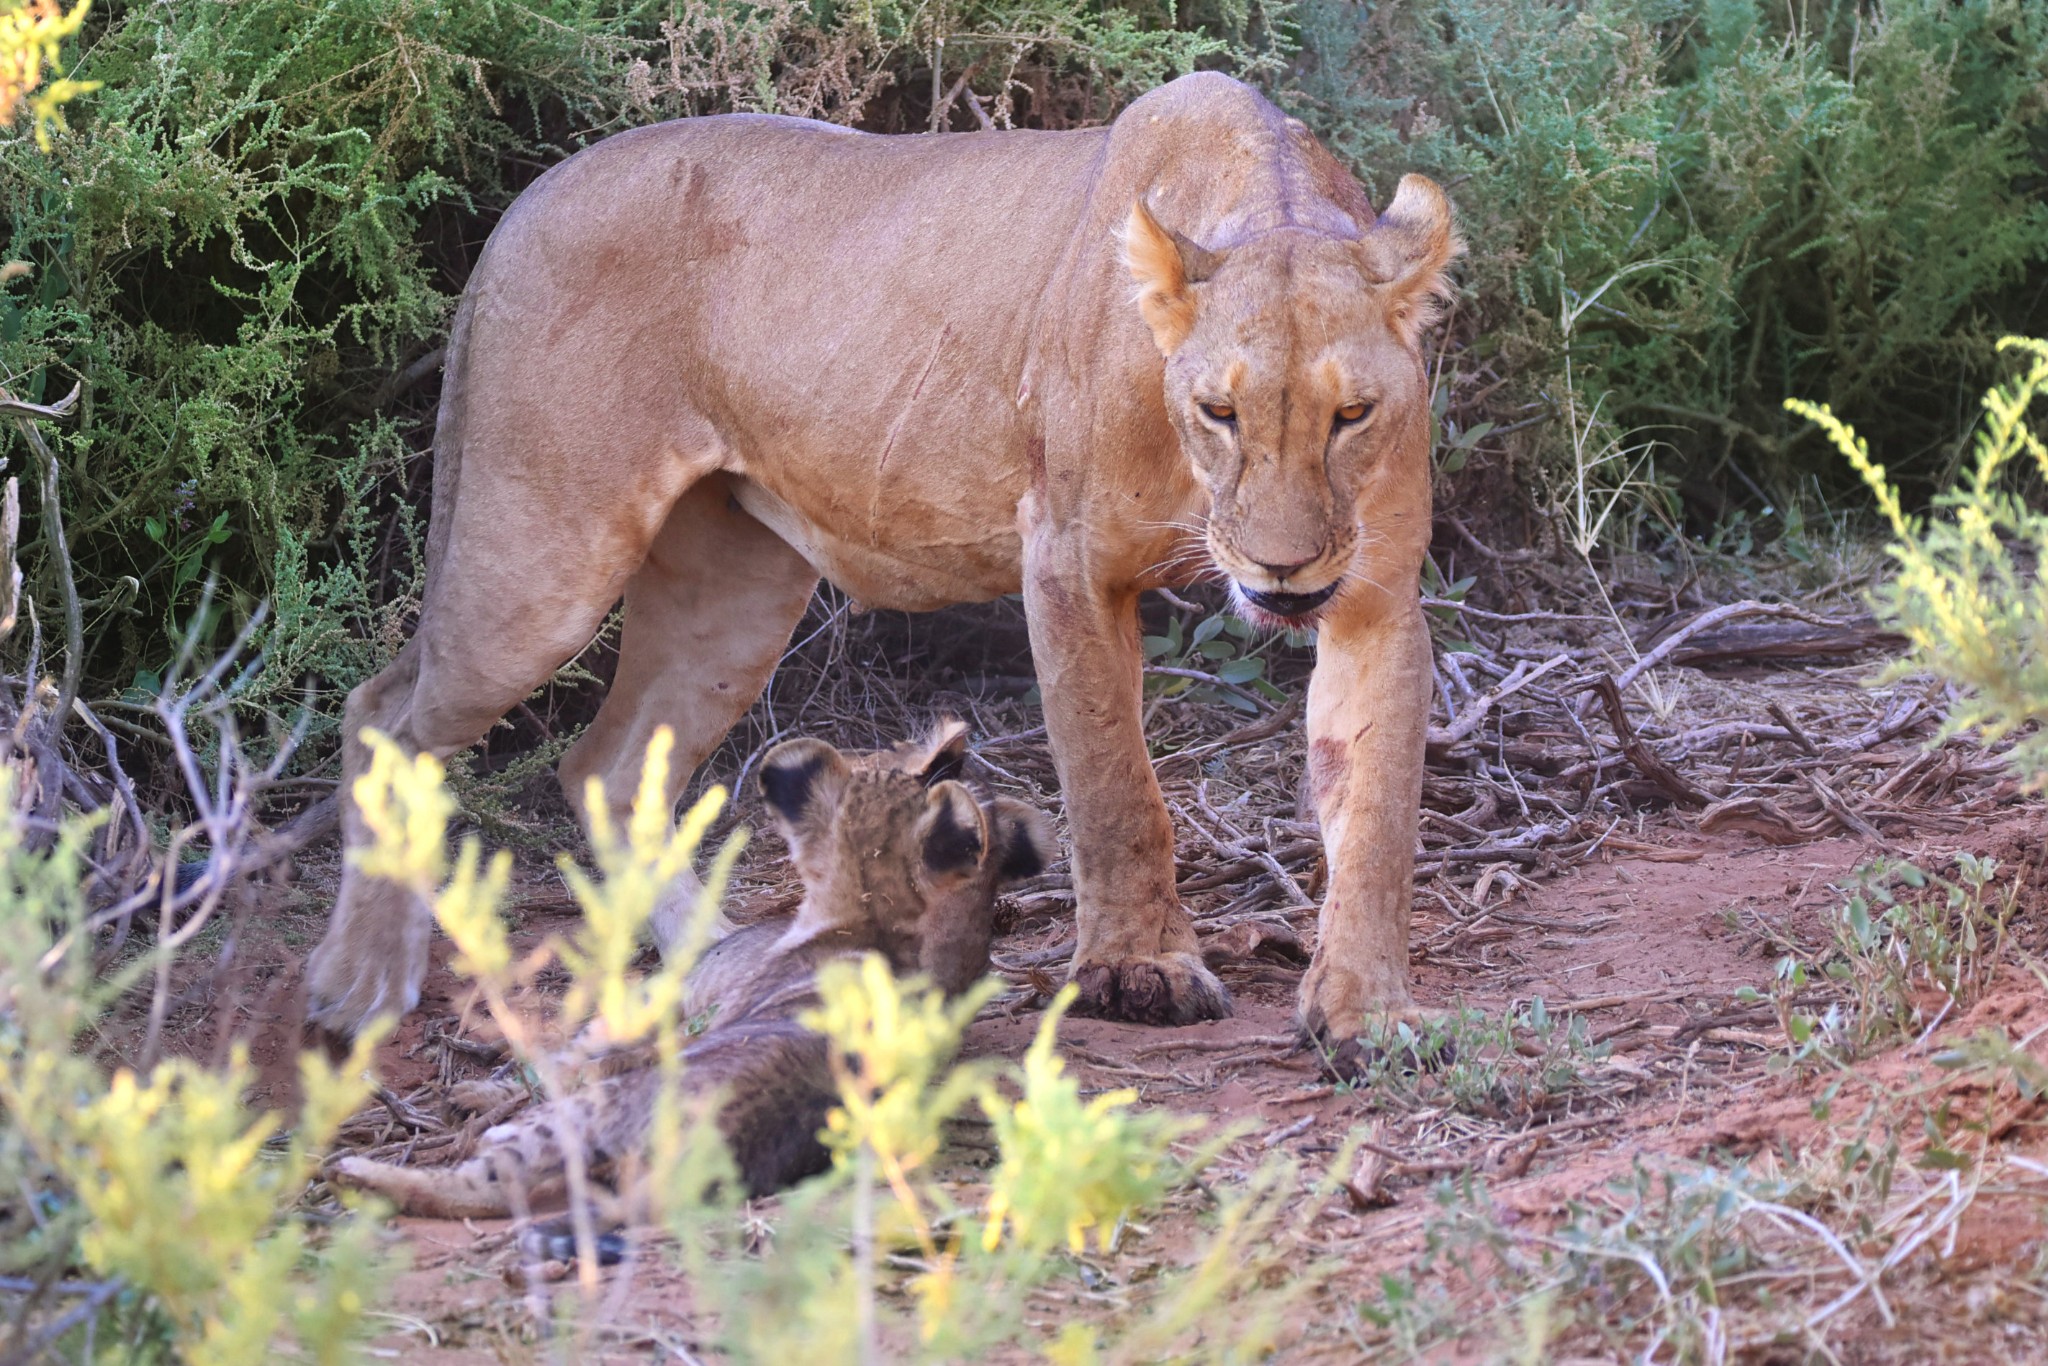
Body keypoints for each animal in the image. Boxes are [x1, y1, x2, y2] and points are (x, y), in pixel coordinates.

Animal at [303, 69, 1458, 1040]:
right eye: (1219, 411)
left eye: (1351, 415)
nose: (1281, 573)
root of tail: (526, 202)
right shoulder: (1067, 564)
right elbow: (1115, 789)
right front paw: (1141, 971)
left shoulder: (1373, 592)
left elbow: (1377, 808)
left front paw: (1368, 1007)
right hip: (540, 558)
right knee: (386, 714)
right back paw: (358, 987)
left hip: (731, 596)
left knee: (610, 763)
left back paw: (715, 963)